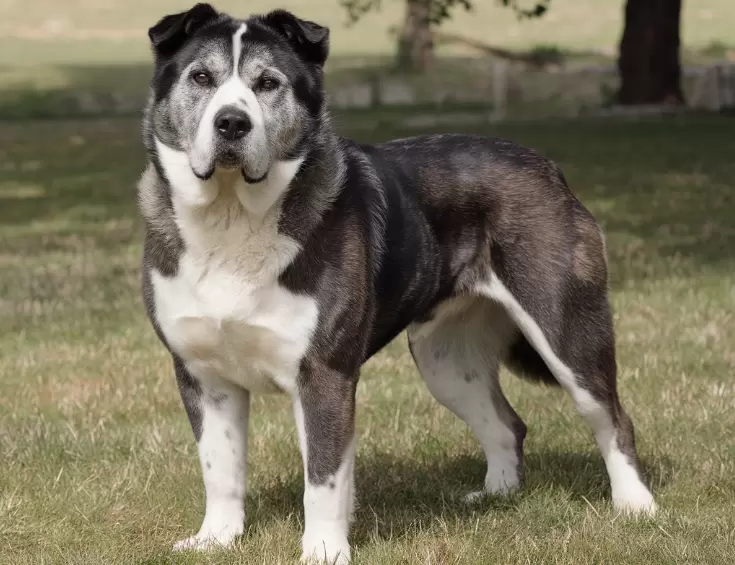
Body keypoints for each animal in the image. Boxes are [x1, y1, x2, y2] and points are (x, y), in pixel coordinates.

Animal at [141, 3, 660, 560]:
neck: (232, 217)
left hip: (567, 330)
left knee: (610, 416)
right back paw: (494, 496)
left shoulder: (324, 374)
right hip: (446, 361)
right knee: (507, 425)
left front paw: (323, 552)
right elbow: (220, 468)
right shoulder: (202, 375)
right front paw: (215, 539)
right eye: (201, 77)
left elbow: (323, 478)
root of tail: (548, 168)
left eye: (267, 83)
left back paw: (636, 506)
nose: (232, 122)